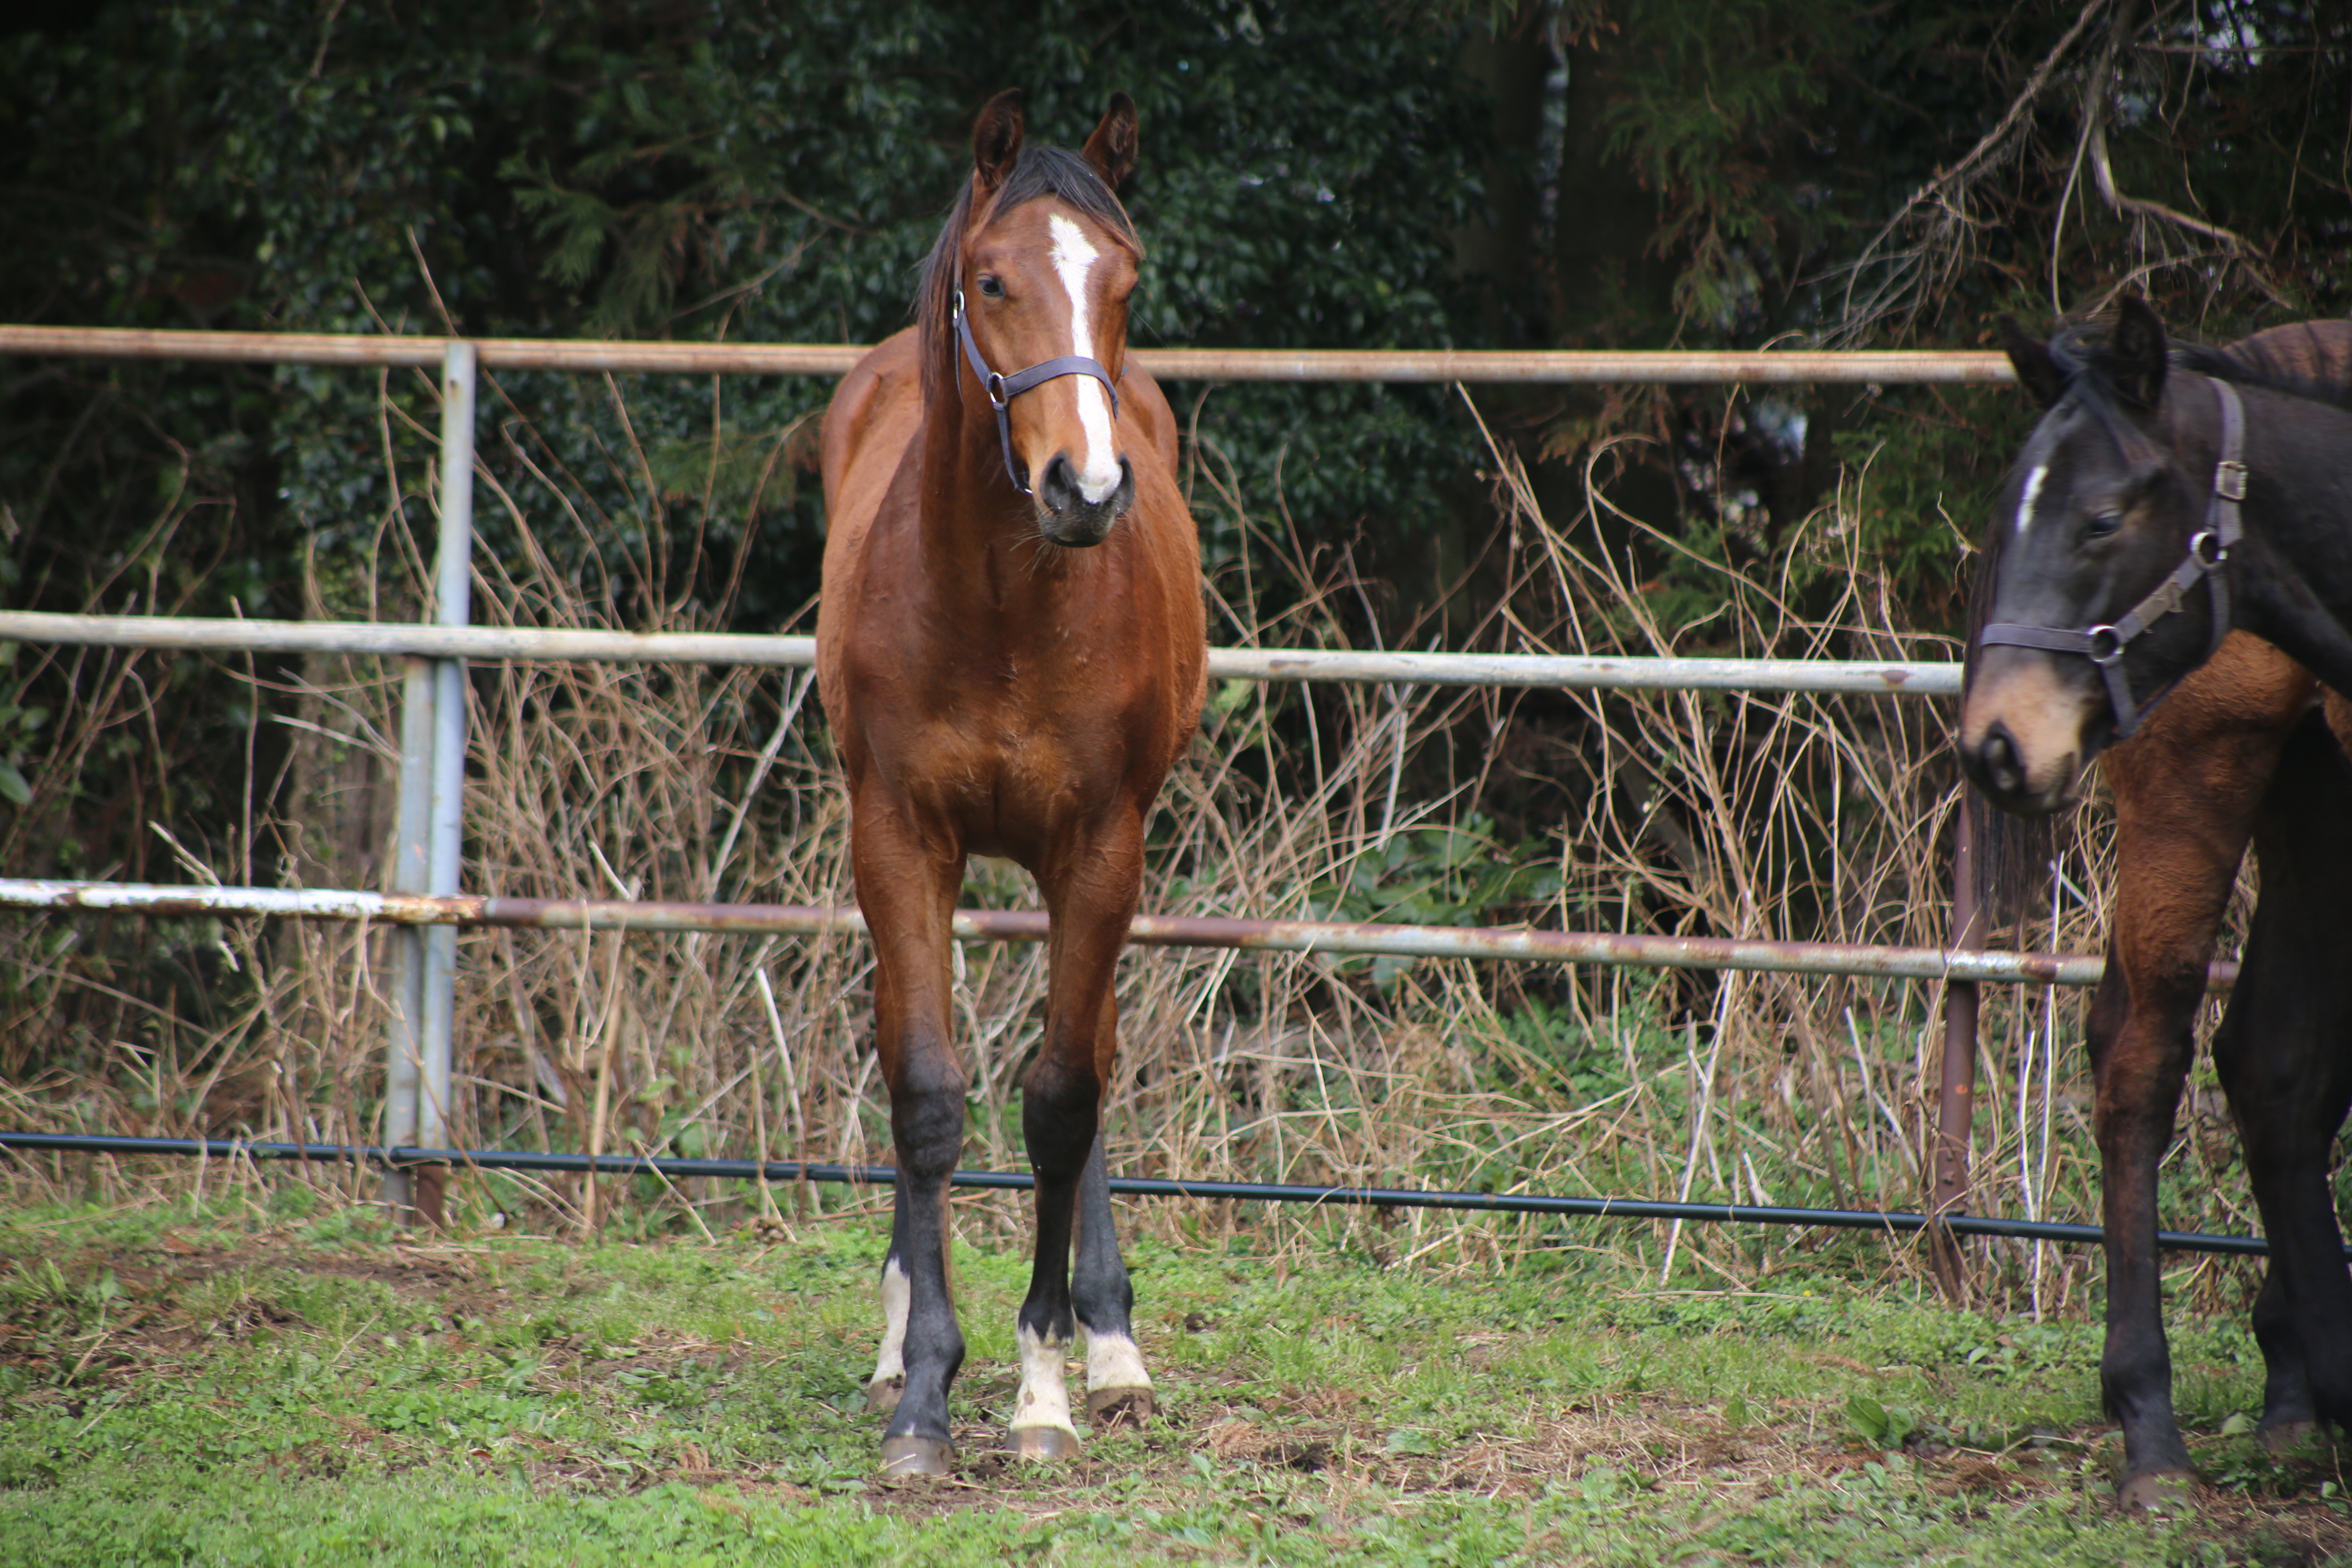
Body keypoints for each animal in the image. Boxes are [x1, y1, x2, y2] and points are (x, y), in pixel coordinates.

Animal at [813, 92, 1204, 1476]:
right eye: (993, 281)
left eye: (1128, 283)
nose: (1086, 488)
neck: (998, 605)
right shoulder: (897, 838)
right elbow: (927, 1093)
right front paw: (927, 1394)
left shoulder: (1101, 844)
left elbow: (1061, 1099)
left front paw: (1044, 1385)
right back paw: (891, 1340)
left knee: (1087, 1058)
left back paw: (1112, 1348)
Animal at [1957, 310, 2352, 1504]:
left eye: (2099, 518)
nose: (1996, 743)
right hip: (2203, 781)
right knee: (2151, 1056)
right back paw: (2154, 1428)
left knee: (2274, 1063)